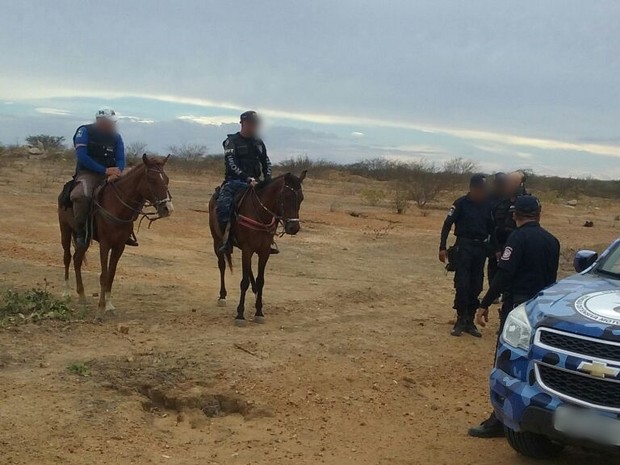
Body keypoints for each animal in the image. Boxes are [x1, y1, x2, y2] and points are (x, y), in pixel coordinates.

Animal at [57, 154, 172, 318]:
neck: (117, 207)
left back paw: (82, 295)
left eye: (166, 179)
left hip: (84, 240)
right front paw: (100, 309)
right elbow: (104, 275)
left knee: (77, 260)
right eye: (152, 180)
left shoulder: (119, 246)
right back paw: (66, 292)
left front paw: (109, 306)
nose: (167, 208)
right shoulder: (105, 245)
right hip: (65, 230)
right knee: (67, 258)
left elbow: (111, 274)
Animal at [209, 171, 306, 326]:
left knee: (249, 272)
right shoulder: (247, 249)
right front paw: (240, 315)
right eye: (285, 197)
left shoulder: (264, 251)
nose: (293, 228)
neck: (260, 214)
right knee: (222, 265)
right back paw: (222, 296)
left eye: (301, 198)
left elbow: (260, 280)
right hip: (217, 241)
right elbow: (244, 282)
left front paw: (259, 311)